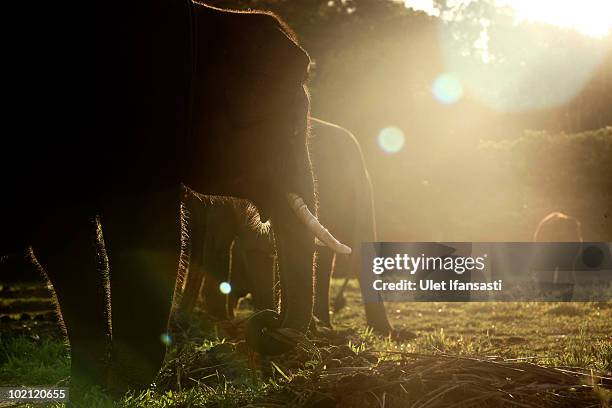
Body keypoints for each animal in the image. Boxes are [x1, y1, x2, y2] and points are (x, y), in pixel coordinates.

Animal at [2, 1, 350, 394]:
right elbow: (149, 239)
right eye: (289, 128)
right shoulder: (144, 114)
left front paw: (91, 389)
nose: (268, 320)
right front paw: (106, 387)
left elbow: (79, 251)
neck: (207, 18)